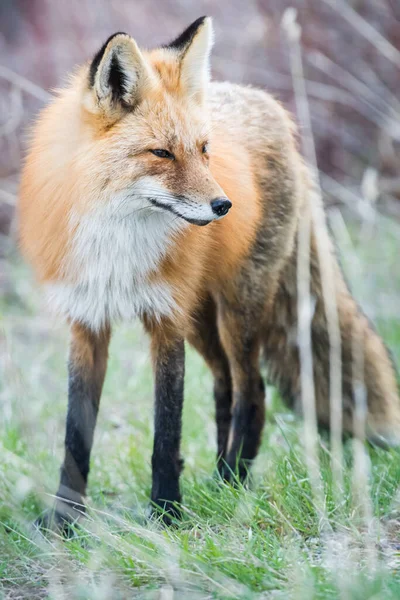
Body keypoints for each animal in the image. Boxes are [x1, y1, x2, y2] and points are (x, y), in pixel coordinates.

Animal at [18, 16, 400, 528]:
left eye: (203, 150)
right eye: (161, 153)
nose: (224, 206)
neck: (118, 242)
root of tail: (268, 107)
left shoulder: (165, 320)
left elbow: (166, 432)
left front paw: (165, 513)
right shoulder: (87, 322)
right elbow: (75, 438)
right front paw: (65, 521)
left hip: (237, 310)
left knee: (252, 391)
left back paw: (234, 481)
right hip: (202, 320)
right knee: (224, 387)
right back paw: (219, 478)